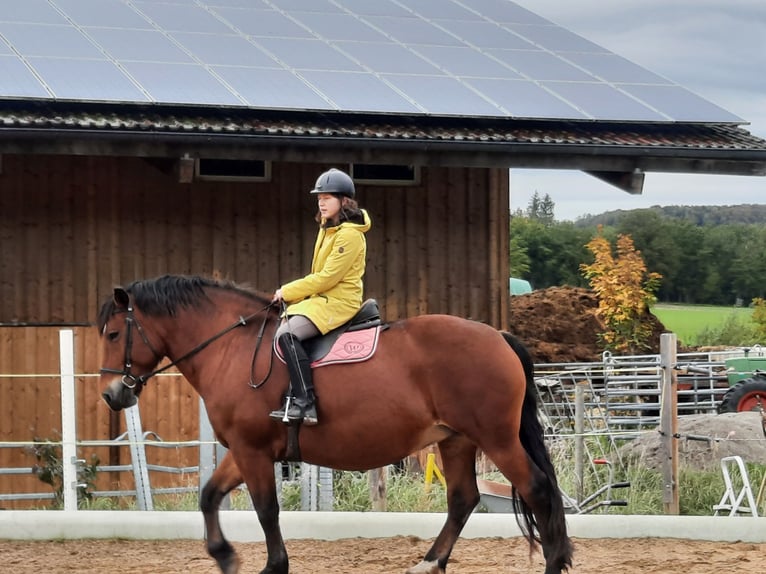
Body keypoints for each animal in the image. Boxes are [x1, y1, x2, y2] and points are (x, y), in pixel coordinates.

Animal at [97, 276, 568, 574]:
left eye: (114, 335)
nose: (111, 395)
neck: (232, 347)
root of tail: (498, 336)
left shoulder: (253, 451)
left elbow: (266, 510)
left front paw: (274, 566)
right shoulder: (244, 451)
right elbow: (209, 496)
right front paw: (225, 556)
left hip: (496, 438)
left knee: (538, 489)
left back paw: (550, 563)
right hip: (455, 440)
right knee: (463, 499)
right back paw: (429, 562)